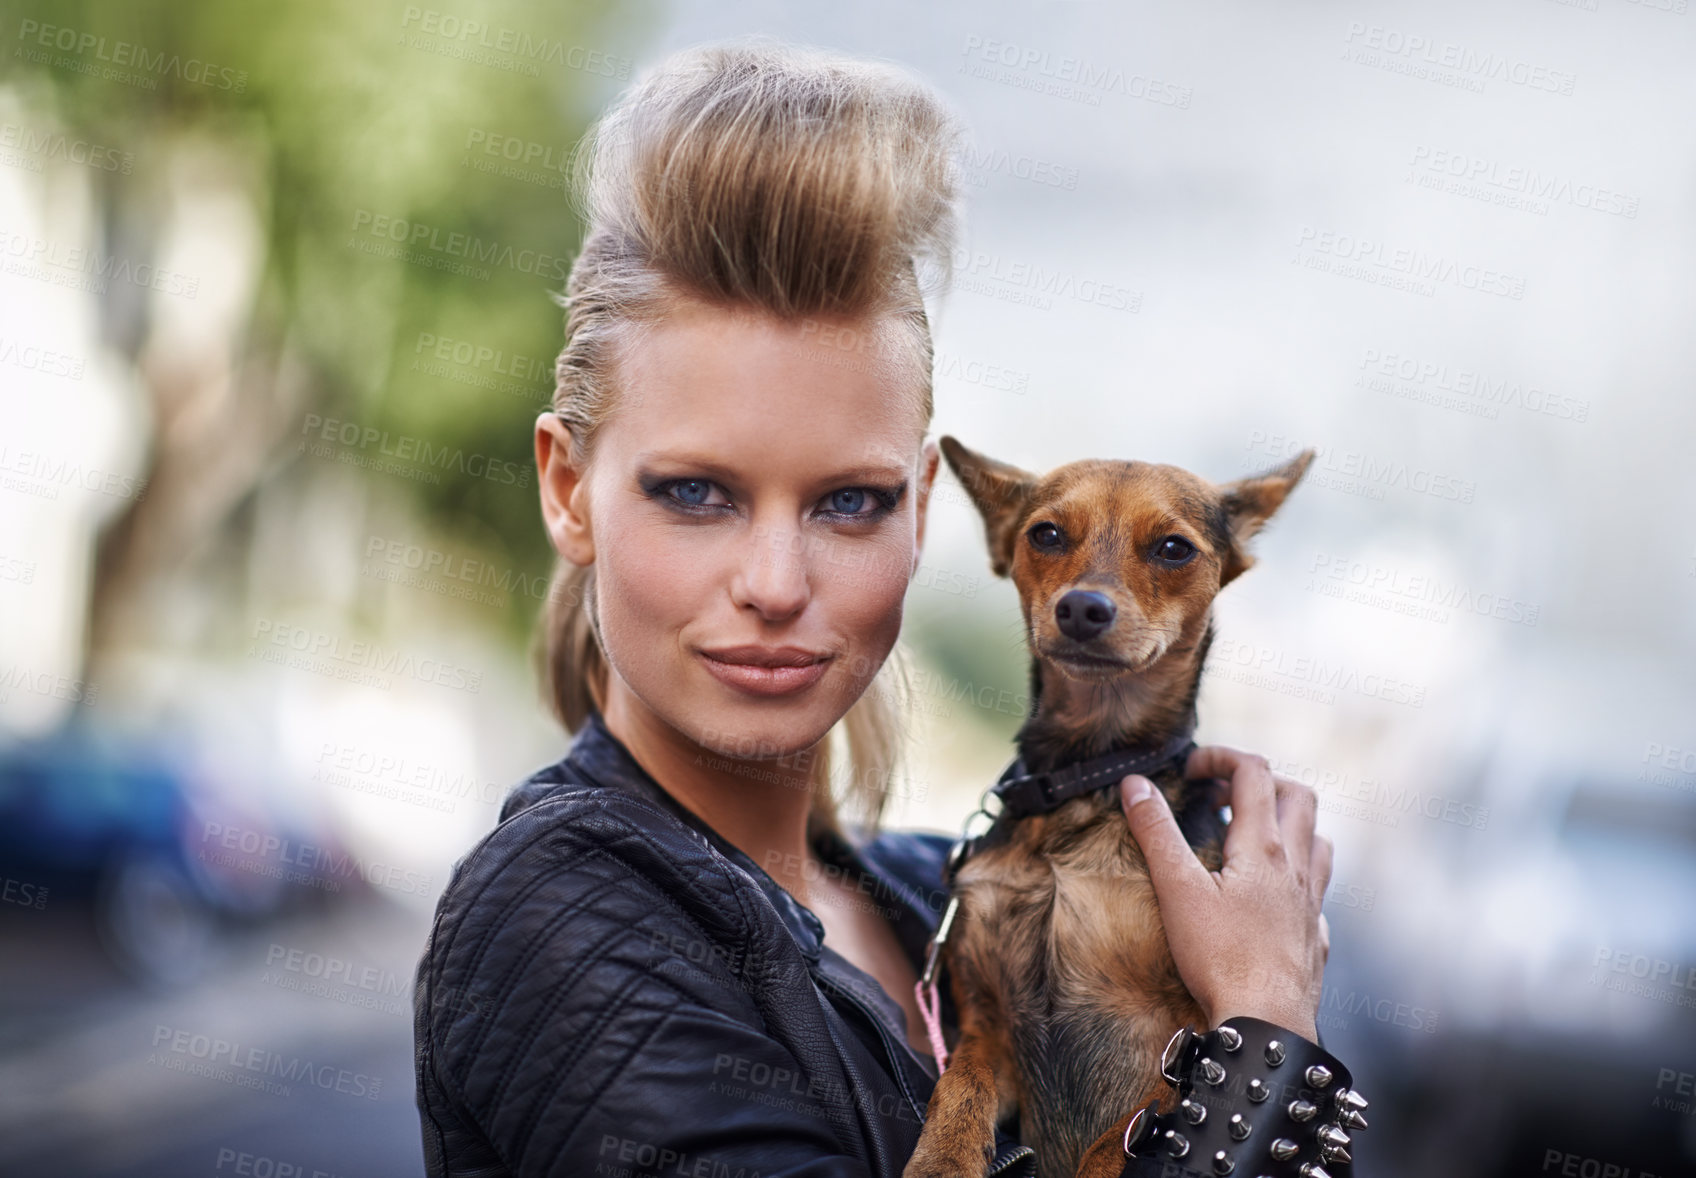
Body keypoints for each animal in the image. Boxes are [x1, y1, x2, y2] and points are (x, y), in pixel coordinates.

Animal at [909, 433, 1316, 1178]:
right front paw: (940, 1161)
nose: (1082, 608)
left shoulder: (1190, 1038)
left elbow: (1112, 1143)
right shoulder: (988, 1026)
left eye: (1174, 549)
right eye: (1045, 534)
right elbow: (958, 1085)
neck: (1087, 779)